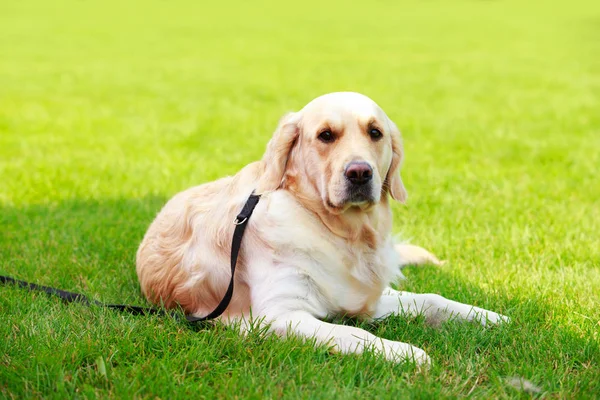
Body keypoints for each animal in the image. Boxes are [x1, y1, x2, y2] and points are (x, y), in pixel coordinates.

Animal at [138, 92, 508, 364]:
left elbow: (432, 298)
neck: (344, 234)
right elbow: (353, 334)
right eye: (325, 136)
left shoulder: (368, 298)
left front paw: (488, 316)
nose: (359, 173)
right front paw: (406, 352)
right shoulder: (278, 314)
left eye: (375, 132)